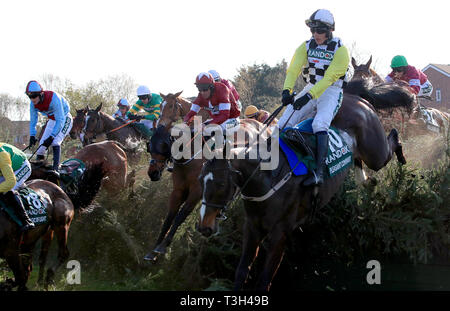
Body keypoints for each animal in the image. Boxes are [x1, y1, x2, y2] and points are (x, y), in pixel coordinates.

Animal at [143, 91, 264, 262]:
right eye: (150, 146)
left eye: (164, 145)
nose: (152, 173)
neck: (190, 150)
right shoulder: (178, 189)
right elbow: (169, 216)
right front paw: (153, 250)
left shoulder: (196, 191)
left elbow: (181, 216)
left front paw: (162, 246)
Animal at [198, 83, 412, 290]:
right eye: (200, 180)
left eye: (221, 183)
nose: (204, 227)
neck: (269, 177)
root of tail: (356, 97)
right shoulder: (252, 228)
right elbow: (242, 272)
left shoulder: (280, 234)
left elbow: (264, 281)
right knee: (360, 164)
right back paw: (368, 182)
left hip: (376, 153)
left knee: (392, 140)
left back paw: (402, 158)